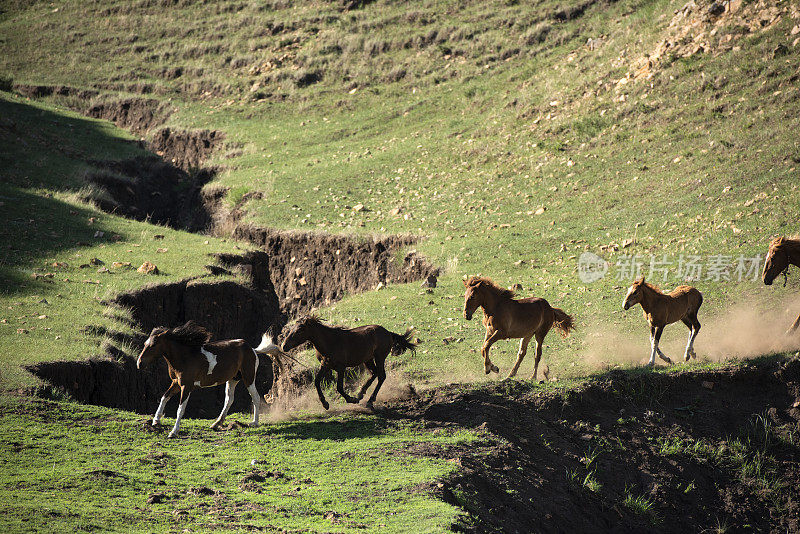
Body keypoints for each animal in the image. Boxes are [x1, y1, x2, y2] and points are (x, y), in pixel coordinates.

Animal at [138, 322, 276, 440]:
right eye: (145, 344)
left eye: (153, 345)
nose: (139, 363)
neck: (184, 357)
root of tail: (252, 349)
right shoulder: (176, 383)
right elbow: (164, 397)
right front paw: (156, 420)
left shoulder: (186, 386)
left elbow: (180, 409)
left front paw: (173, 431)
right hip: (232, 379)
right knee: (229, 400)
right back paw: (216, 423)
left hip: (249, 378)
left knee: (255, 397)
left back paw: (254, 422)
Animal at [280, 316, 416, 412]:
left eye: (299, 330)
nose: (284, 346)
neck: (329, 342)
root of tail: (388, 333)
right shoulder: (325, 365)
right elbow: (317, 382)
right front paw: (325, 404)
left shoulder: (341, 367)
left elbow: (339, 387)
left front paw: (352, 399)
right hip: (368, 359)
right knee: (375, 373)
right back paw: (361, 393)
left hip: (379, 357)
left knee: (381, 376)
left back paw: (369, 401)